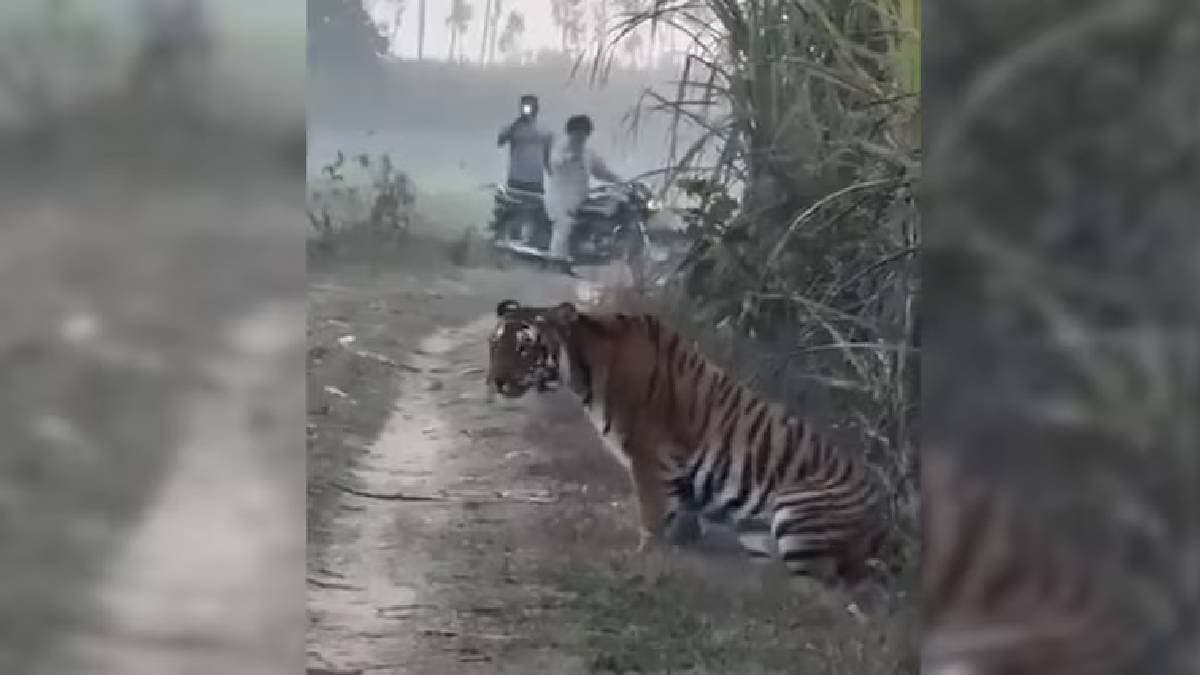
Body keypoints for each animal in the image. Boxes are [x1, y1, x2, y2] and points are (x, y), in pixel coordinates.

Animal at [488, 299, 888, 583]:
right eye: (495, 346)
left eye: (524, 348)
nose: (495, 381)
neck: (585, 365)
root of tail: (887, 520)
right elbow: (678, 520)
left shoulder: (649, 457)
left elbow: (651, 518)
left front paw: (642, 563)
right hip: (759, 533)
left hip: (797, 513)